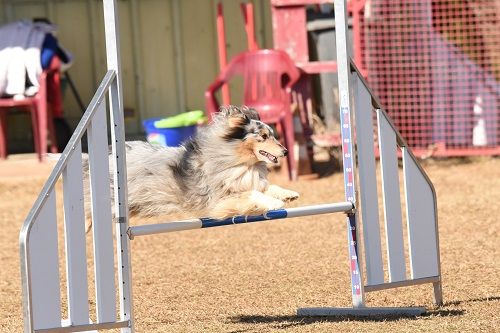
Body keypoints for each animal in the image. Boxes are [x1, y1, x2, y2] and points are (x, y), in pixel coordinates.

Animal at [84, 105, 298, 230]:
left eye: (273, 135)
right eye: (263, 136)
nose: (286, 151)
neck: (240, 162)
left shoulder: (248, 181)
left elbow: (267, 187)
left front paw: (288, 194)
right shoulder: (219, 201)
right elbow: (253, 195)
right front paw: (275, 203)